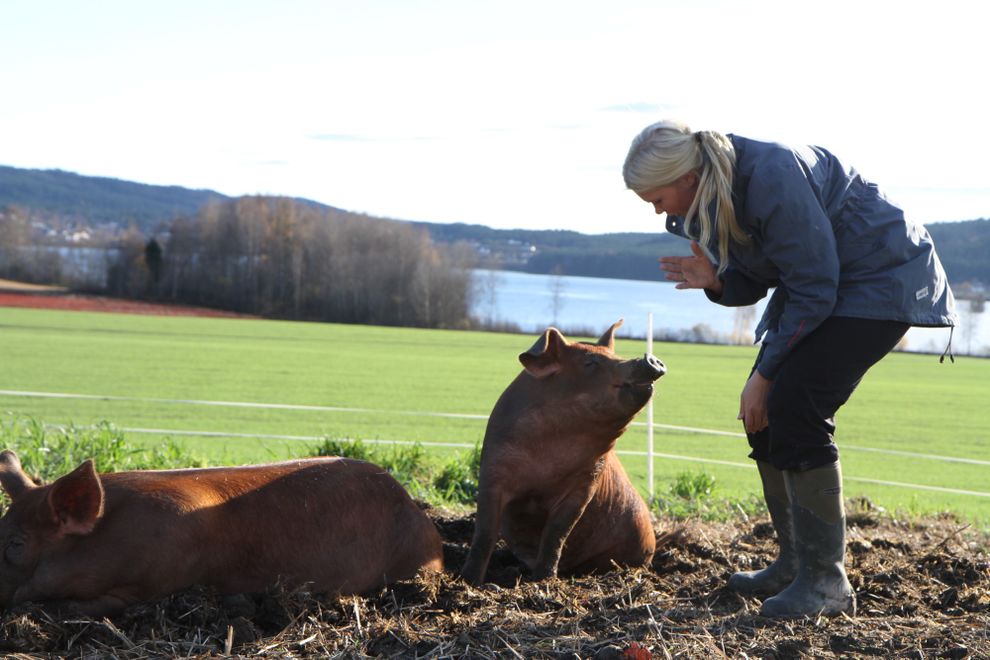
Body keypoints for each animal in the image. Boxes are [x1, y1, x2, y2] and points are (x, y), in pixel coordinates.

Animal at [464, 320, 668, 584]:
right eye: (590, 363)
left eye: (615, 356)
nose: (649, 359)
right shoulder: (492, 471)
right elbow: (485, 532)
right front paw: (469, 580)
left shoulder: (586, 483)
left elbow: (557, 533)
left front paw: (543, 580)